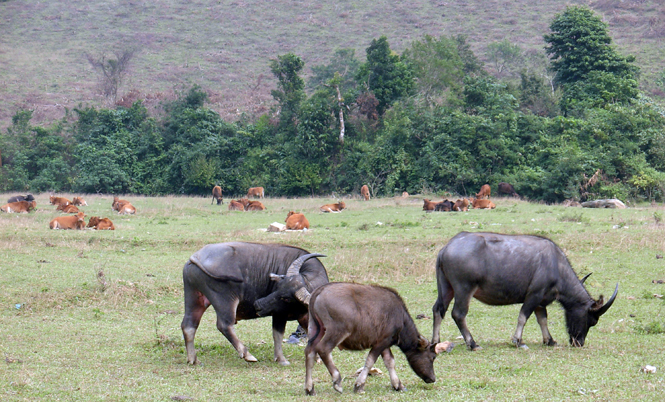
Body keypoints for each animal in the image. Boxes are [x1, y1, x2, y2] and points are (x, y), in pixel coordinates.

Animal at [180, 242, 328, 368]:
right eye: (278, 286)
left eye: (286, 298)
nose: (258, 304)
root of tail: (197, 256)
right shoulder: (279, 314)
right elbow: (278, 335)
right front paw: (281, 359)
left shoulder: (304, 316)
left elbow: (312, 334)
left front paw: (316, 357)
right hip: (225, 300)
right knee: (224, 325)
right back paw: (247, 355)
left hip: (194, 297)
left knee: (189, 325)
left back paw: (193, 359)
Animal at [304, 282, 452, 396]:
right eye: (433, 357)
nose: (432, 378)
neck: (400, 318)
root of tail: (319, 291)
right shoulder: (381, 342)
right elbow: (370, 361)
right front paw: (359, 385)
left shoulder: (385, 344)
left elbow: (389, 362)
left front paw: (398, 385)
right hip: (337, 331)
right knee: (323, 349)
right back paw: (337, 381)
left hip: (315, 329)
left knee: (310, 351)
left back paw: (309, 388)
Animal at [430, 231, 616, 350]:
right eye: (591, 321)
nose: (579, 342)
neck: (556, 265)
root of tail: (447, 248)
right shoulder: (534, 295)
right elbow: (523, 316)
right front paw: (518, 340)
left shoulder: (541, 302)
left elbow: (542, 320)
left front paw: (549, 340)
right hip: (464, 289)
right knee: (458, 314)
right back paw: (473, 343)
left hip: (446, 287)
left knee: (438, 309)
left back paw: (435, 341)